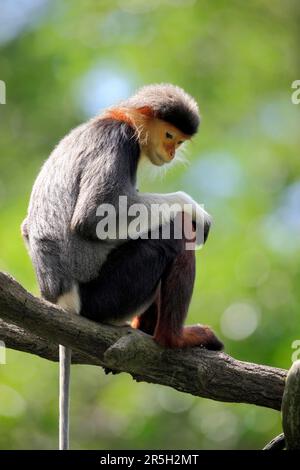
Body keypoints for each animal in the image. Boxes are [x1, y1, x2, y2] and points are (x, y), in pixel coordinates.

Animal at [21, 82, 223, 450]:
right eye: (169, 136)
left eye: (179, 141)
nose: (171, 153)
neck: (119, 119)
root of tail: (60, 301)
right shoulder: (119, 140)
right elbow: (93, 217)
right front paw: (192, 206)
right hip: (106, 296)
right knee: (173, 234)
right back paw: (172, 338)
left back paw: (145, 330)